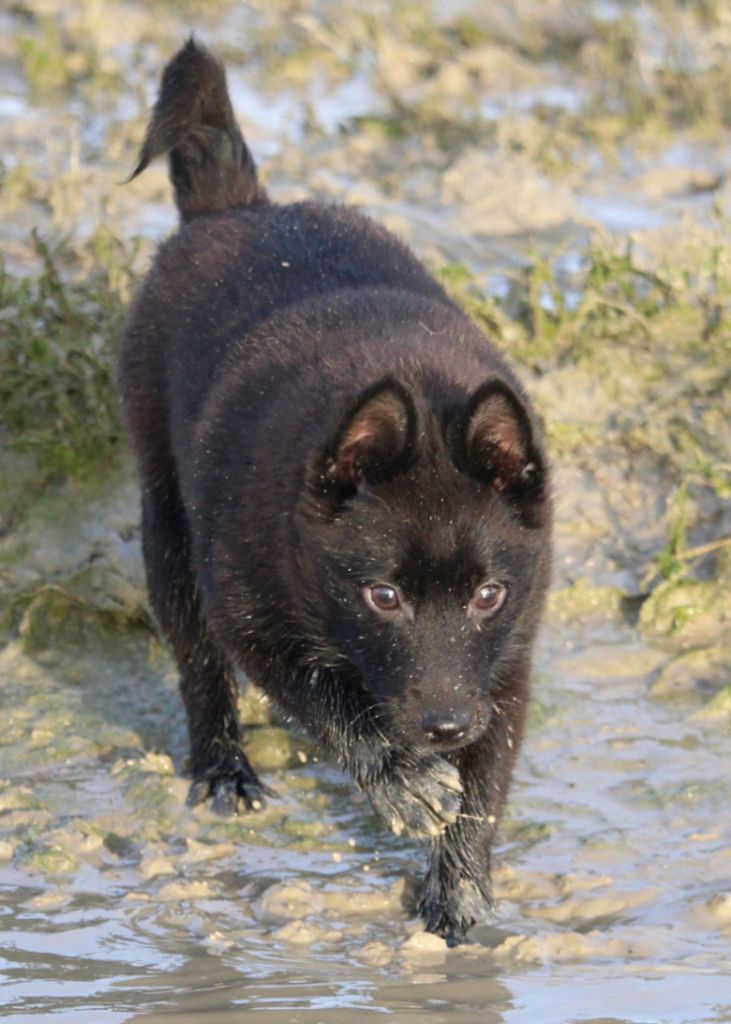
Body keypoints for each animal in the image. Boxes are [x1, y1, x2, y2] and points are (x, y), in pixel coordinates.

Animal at [119, 39, 548, 937]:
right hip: (168, 527)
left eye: (488, 595)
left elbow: (485, 785)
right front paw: (402, 778)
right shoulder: (253, 618)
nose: (443, 726)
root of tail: (237, 210)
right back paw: (223, 770)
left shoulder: (506, 669)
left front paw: (458, 891)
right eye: (382, 597)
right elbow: (325, 699)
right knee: (197, 662)